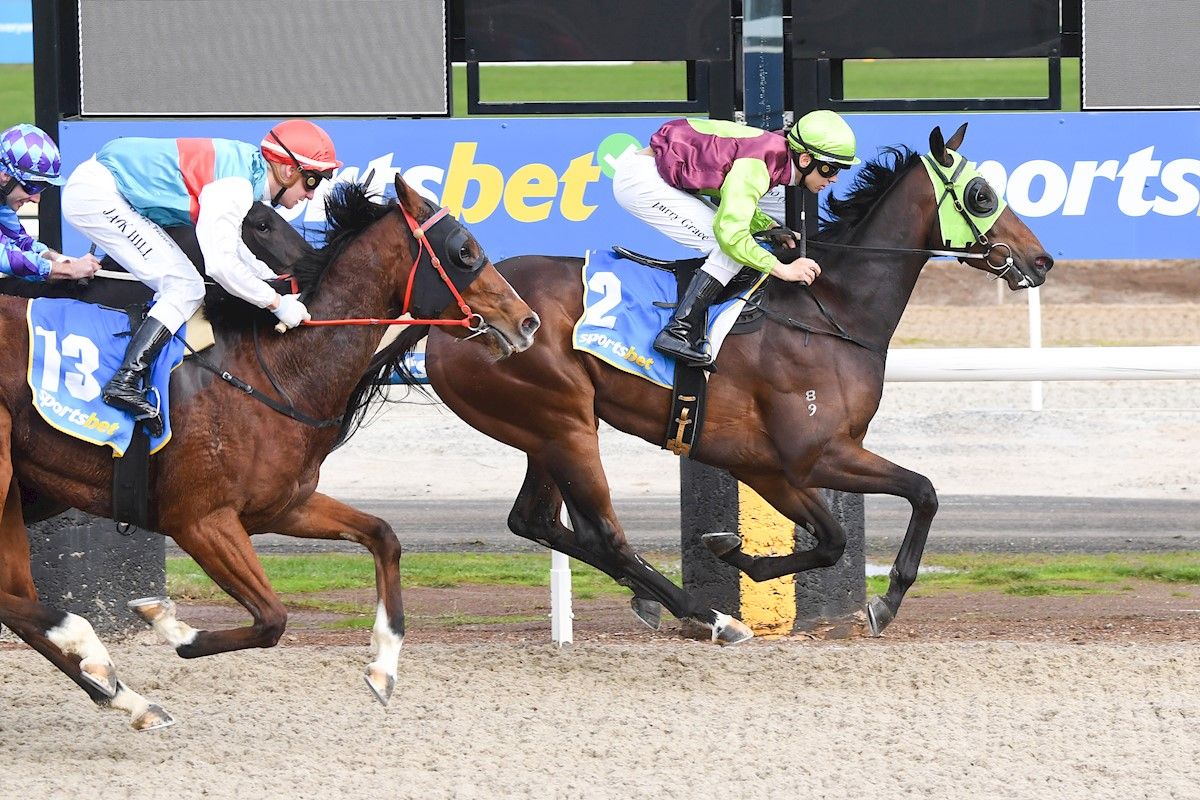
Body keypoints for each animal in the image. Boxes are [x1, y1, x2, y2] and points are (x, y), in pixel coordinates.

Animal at [0, 175, 539, 730]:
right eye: (464, 251)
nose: (528, 322)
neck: (275, 371)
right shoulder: (200, 520)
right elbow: (271, 619)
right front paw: (169, 624)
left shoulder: (283, 506)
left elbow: (383, 536)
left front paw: (383, 666)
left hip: (26, 495)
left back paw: (125, 694)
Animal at [419, 124, 1053, 643]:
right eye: (982, 195)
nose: (1042, 260)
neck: (830, 310)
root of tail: (450, 322)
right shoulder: (817, 452)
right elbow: (923, 491)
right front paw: (886, 600)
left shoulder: (768, 463)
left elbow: (832, 540)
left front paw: (734, 552)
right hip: (565, 423)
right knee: (601, 534)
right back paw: (707, 616)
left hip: (544, 429)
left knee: (533, 519)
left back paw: (653, 600)